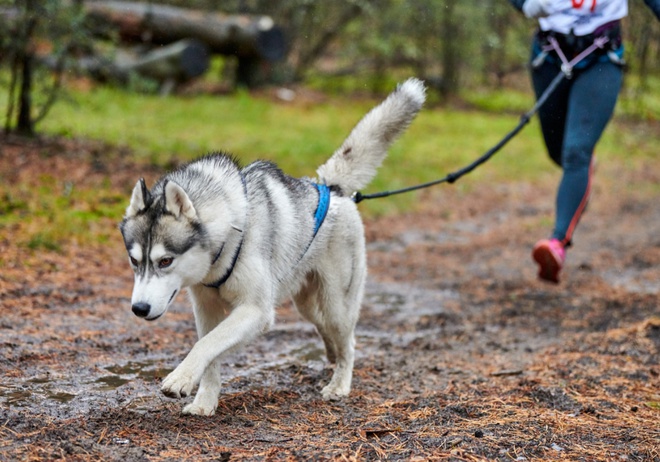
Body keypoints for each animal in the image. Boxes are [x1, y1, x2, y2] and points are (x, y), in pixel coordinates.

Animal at [120, 77, 426, 416]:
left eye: (165, 261)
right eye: (135, 261)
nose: (138, 309)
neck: (227, 236)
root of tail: (330, 188)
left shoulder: (256, 311)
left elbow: (206, 344)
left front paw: (181, 378)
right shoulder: (207, 310)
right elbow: (210, 353)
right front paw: (204, 403)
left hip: (336, 305)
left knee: (348, 342)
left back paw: (339, 384)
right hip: (306, 305)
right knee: (326, 332)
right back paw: (331, 356)